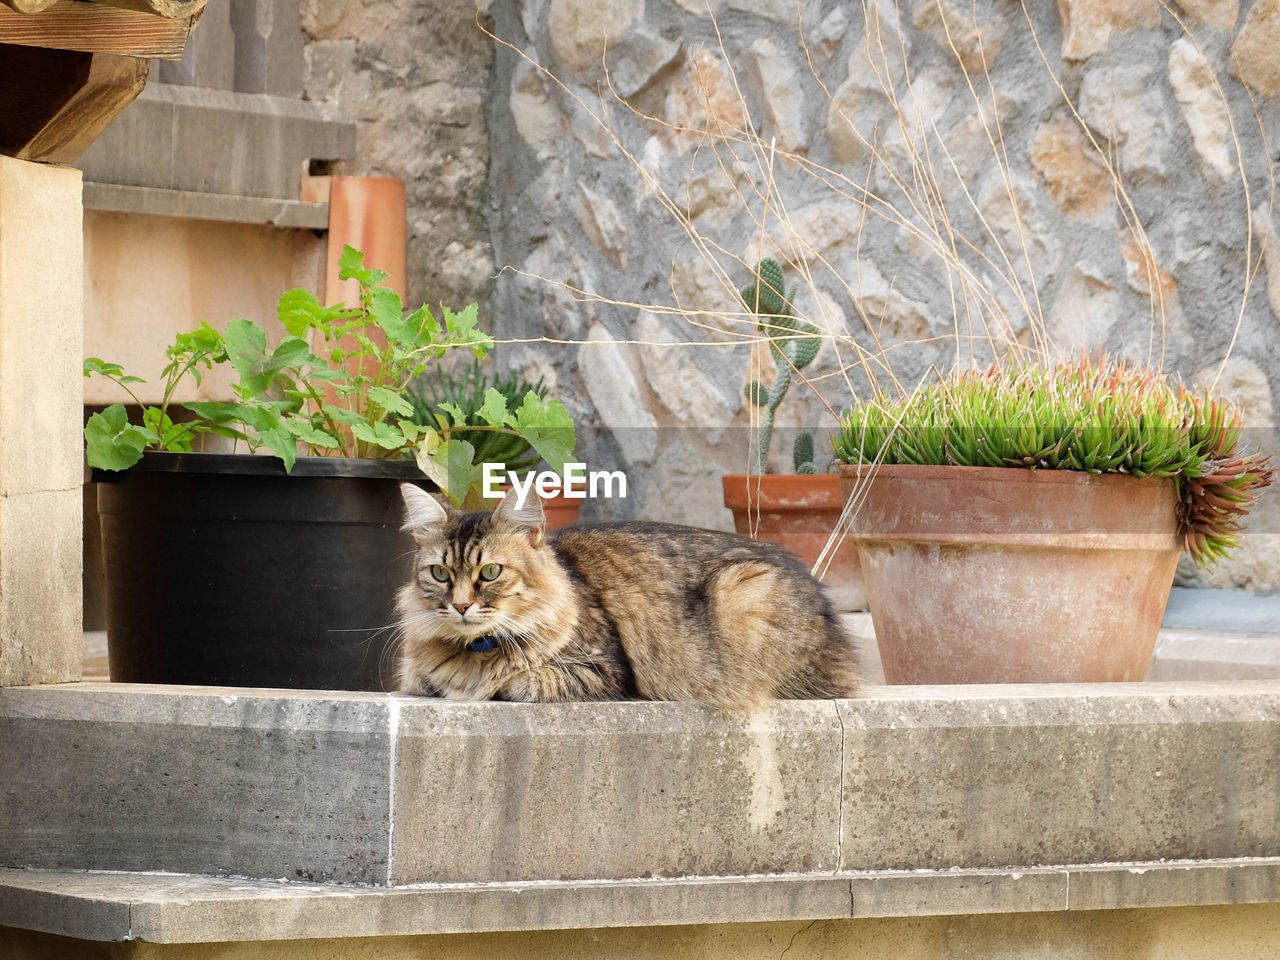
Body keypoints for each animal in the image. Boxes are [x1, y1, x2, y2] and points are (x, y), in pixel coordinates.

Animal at [396, 483, 860, 711]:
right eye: (440, 574)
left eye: (490, 572)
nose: (460, 605)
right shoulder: (414, 674)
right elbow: (424, 679)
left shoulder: (606, 670)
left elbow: (520, 680)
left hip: (740, 590)